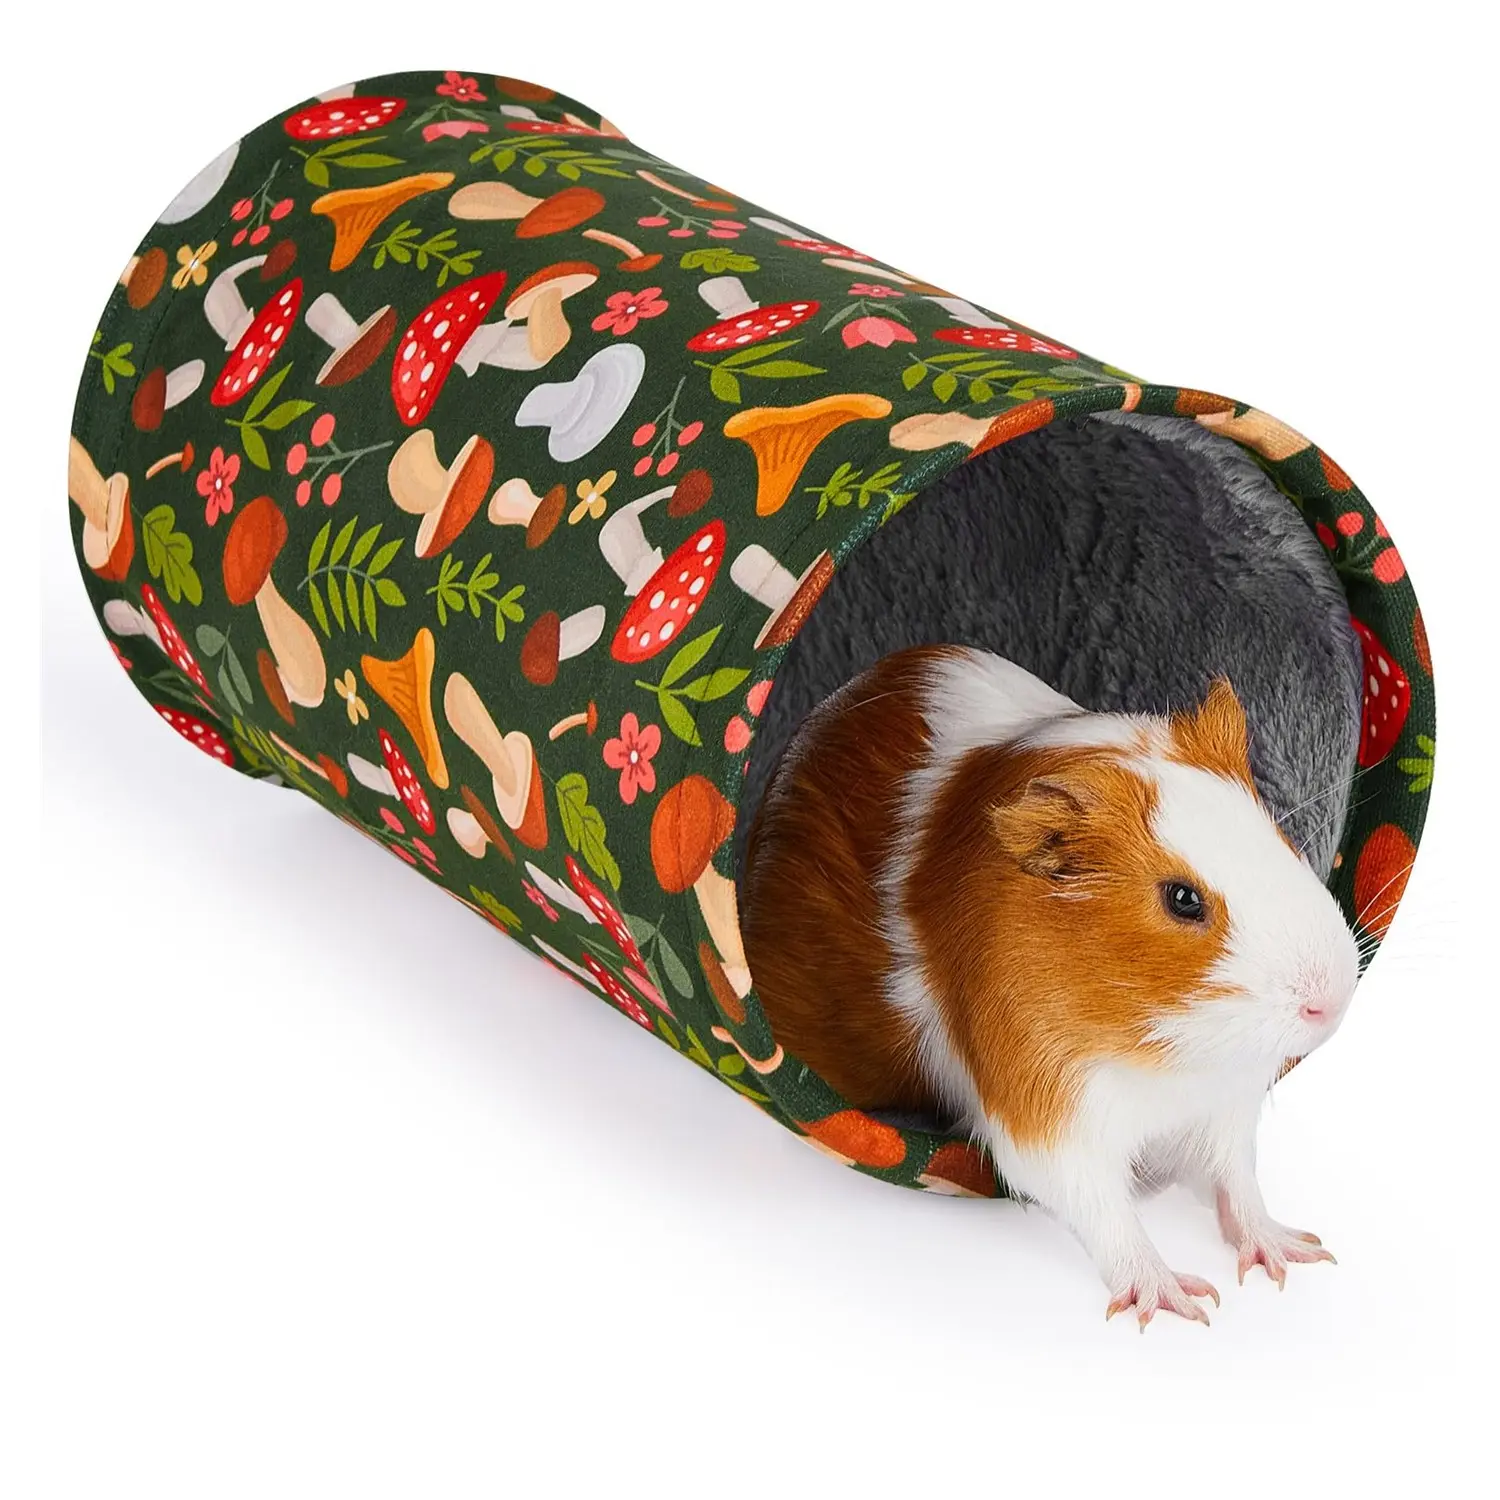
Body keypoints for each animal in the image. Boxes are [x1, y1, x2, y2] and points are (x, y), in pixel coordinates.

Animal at [742, 645, 1360, 1327]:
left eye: (1275, 835)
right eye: (1182, 899)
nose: (1330, 999)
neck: (1156, 1051)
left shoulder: (1223, 1104)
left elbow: (1237, 1180)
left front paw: (1294, 1254)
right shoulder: (1046, 1111)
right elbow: (1105, 1210)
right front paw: (1180, 1302)